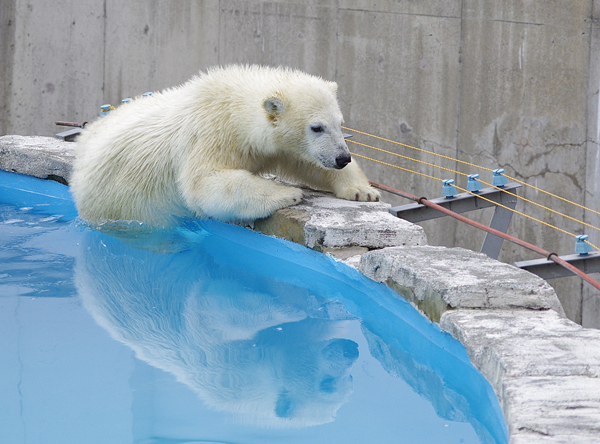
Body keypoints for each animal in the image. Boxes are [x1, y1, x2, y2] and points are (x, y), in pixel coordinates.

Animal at [70, 64, 380, 227]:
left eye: (340, 123)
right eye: (317, 127)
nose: (342, 158)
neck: (233, 108)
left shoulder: (274, 146)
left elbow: (306, 161)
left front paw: (362, 191)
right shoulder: (211, 134)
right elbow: (203, 183)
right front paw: (287, 193)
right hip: (118, 204)